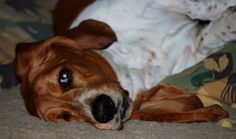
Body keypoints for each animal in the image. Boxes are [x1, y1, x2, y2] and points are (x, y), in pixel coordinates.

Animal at [15, 0, 236, 130]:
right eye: (64, 116)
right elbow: (219, 30)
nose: (102, 111)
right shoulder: (195, 46)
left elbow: (211, 7)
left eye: (64, 76)